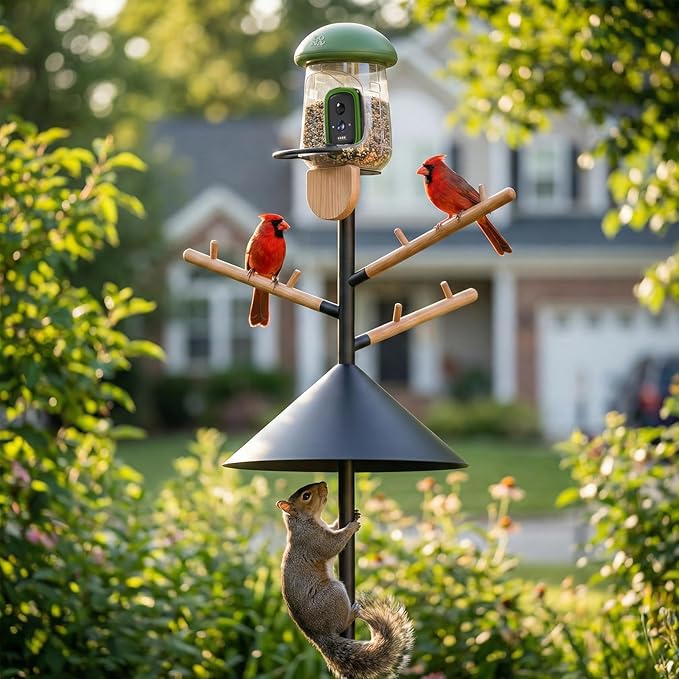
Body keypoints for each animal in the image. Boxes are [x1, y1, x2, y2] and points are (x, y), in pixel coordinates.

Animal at [276, 481, 414, 679]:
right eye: (306, 496)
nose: (324, 483)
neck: (302, 522)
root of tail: (318, 636)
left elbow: (334, 528)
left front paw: (353, 515)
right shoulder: (315, 540)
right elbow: (334, 544)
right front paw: (351, 526)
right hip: (334, 593)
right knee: (342, 622)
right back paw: (352, 613)